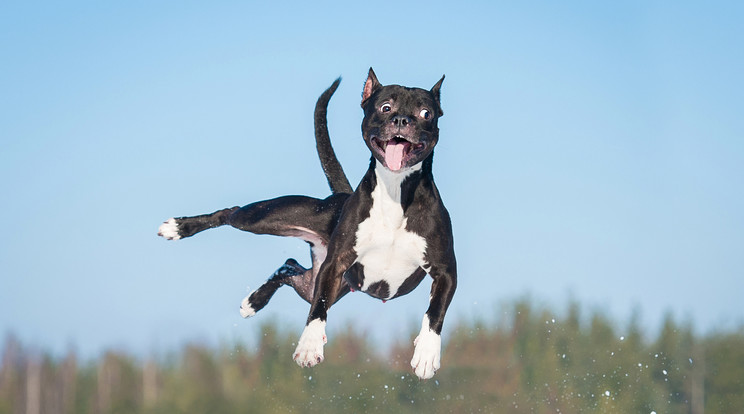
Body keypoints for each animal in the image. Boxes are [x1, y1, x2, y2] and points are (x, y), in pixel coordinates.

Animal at [158, 68, 454, 378]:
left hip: (314, 282)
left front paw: (427, 353)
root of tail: (342, 195)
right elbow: (318, 310)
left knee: (288, 266)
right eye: (386, 107)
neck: (396, 191)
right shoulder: (334, 264)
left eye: (426, 113)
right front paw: (310, 345)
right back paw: (178, 228)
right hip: (265, 218)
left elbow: (435, 312)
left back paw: (253, 302)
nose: (402, 120)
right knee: (232, 213)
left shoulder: (445, 272)